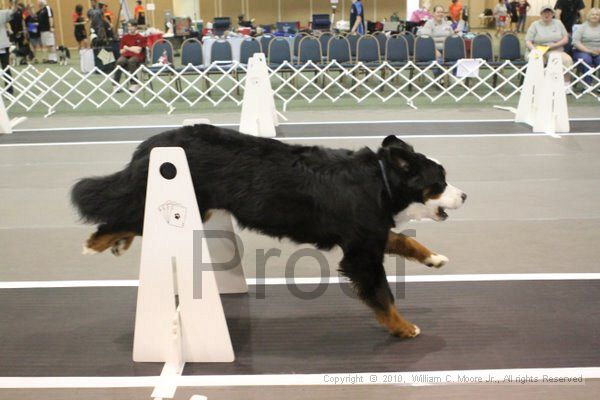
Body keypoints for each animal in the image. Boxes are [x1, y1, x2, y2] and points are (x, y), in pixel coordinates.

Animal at [69, 125, 464, 338]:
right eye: (440, 181)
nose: (464, 195)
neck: (379, 180)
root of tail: (153, 143)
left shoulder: (368, 234)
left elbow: (404, 239)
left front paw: (433, 258)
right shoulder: (361, 252)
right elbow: (383, 296)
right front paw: (403, 327)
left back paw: (117, 243)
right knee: (119, 213)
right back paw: (96, 243)